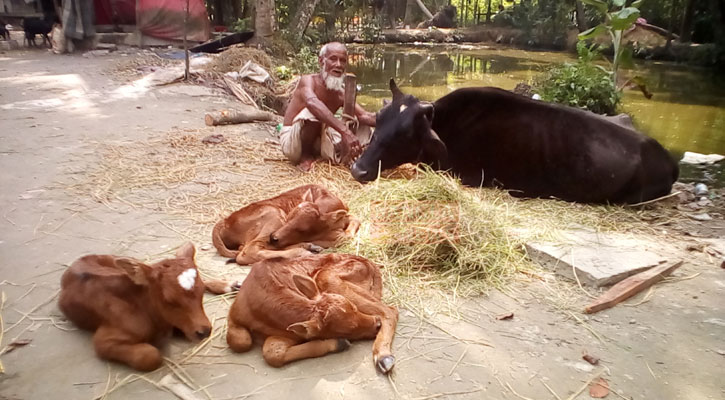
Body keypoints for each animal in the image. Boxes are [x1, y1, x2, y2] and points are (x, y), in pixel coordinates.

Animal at [60, 242, 235, 370]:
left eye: (201, 292)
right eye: (169, 299)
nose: (204, 331)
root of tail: (78, 262)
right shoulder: (103, 341)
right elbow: (150, 355)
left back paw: (230, 285)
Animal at [211, 185, 358, 266]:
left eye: (303, 229)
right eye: (288, 218)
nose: (274, 237)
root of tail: (225, 221)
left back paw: (309, 247)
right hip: (273, 213)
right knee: (248, 252)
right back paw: (303, 251)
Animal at [226, 255, 396, 374]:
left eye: (354, 307)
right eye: (347, 331)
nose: (376, 324)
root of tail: (369, 262)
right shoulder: (235, 318)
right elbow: (250, 345)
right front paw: (339, 343)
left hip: (327, 277)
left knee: (389, 310)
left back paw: (383, 356)